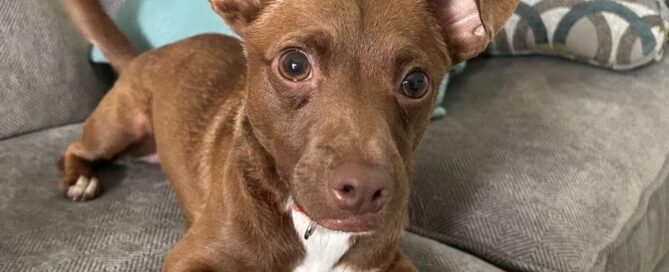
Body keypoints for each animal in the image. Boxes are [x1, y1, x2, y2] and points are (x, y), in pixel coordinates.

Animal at [60, 1, 516, 270]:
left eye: (417, 82)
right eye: (294, 65)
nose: (364, 189)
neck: (315, 230)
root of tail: (146, 54)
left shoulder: (389, 262)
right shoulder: (191, 259)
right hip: (117, 126)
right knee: (76, 147)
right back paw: (81, 179)